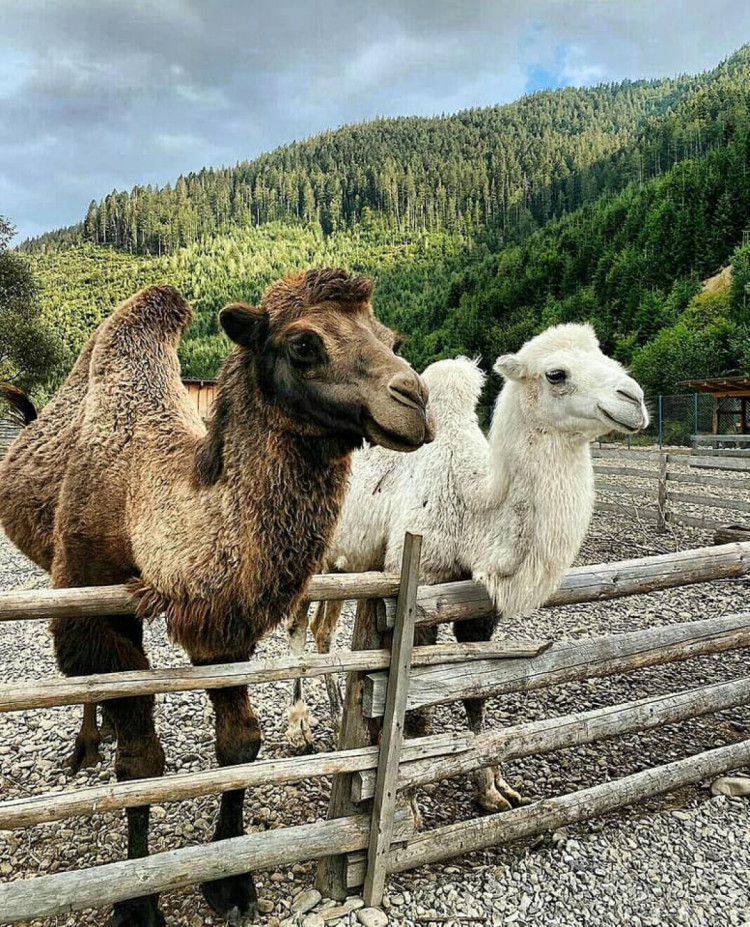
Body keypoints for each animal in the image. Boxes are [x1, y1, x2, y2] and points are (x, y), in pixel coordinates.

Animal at [0, 270, 434, 927]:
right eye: (303, 344)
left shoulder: (221, 622)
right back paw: (86, 747)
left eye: (391, 337)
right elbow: (142, 763)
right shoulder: (97, 604)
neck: (143, 499)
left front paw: (232, 882)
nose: (414, 400)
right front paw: (137, 900)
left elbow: (239, 742)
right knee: (83, 678)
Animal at [284, 324, 648, 812]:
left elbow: (477, 692)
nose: (634, 398)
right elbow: (416, 708)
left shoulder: (479, 604)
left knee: (324, 629)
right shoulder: (418, 586)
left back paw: (339, 709)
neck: (473, 505)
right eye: (556, 374)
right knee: (297, 629)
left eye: (606, 355)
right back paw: (299, 730)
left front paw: (493, 789)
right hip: (314, 556)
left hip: (349, 562)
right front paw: (408, 803)